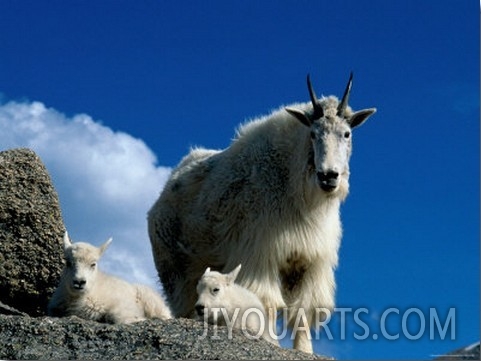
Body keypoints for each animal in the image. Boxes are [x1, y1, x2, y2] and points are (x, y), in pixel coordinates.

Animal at [147, 73, 376, 352]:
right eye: (313, 134)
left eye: (346, 133)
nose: (328, 176)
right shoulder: (261, 254)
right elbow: (267, 301)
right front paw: (271, 342)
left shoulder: (309, 260)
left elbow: (303, 310)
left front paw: (304, 351)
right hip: (174, 270)